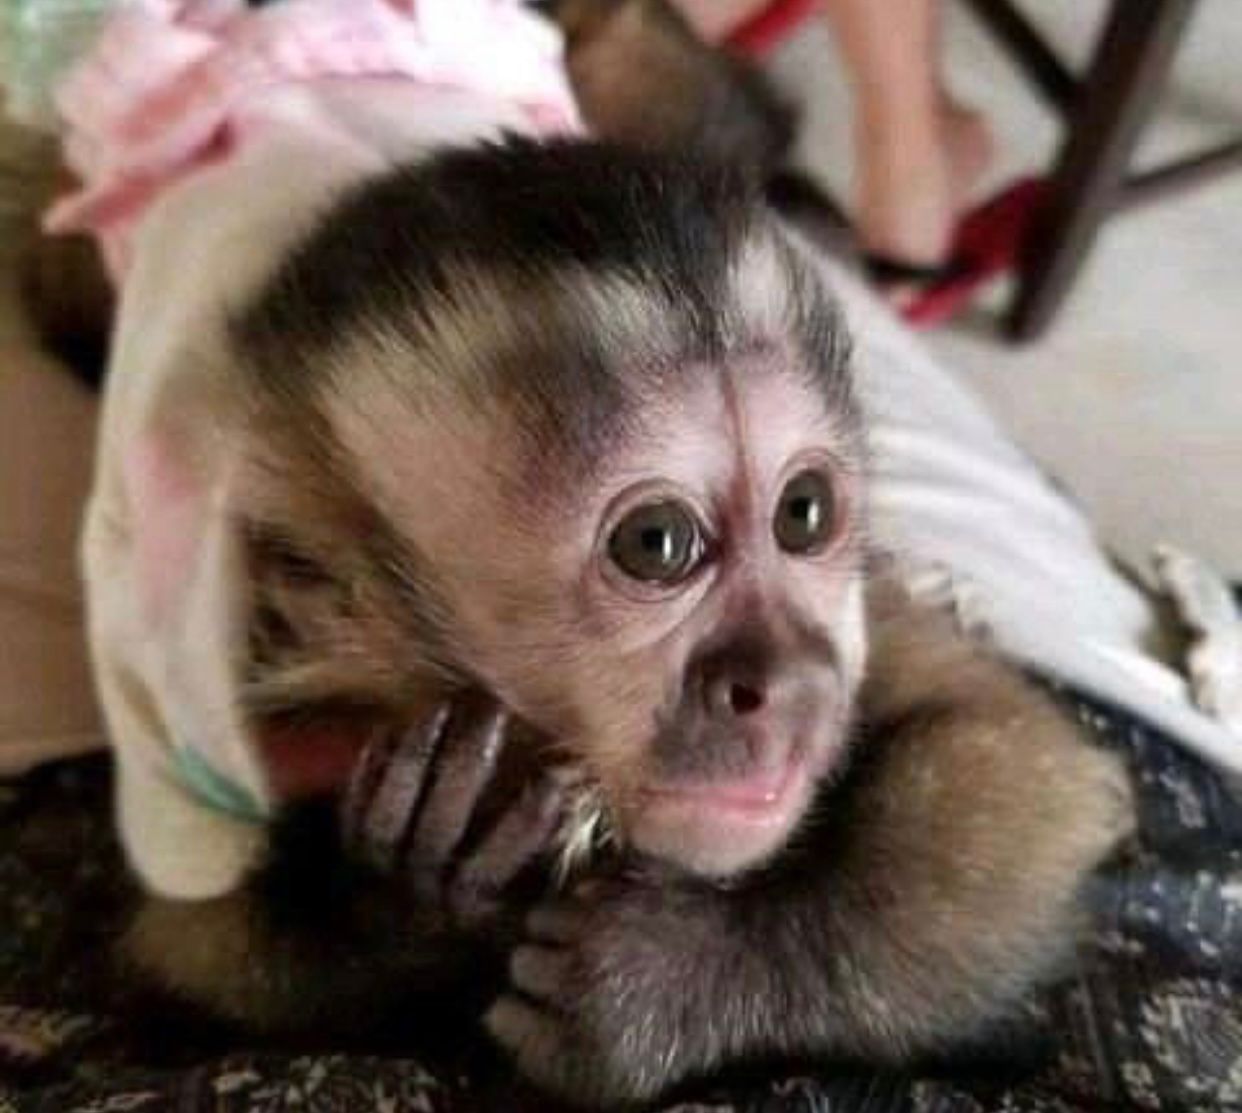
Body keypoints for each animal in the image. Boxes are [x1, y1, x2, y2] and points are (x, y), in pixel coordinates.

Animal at [14, 0, 1133, 1106]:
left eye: (804, 515)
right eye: (658, 544)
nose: (792, 683)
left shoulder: (856, 618)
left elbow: (1017, 759)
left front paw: (672, 983)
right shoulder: (194, 661)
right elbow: (192, 951)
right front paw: (412, 896)